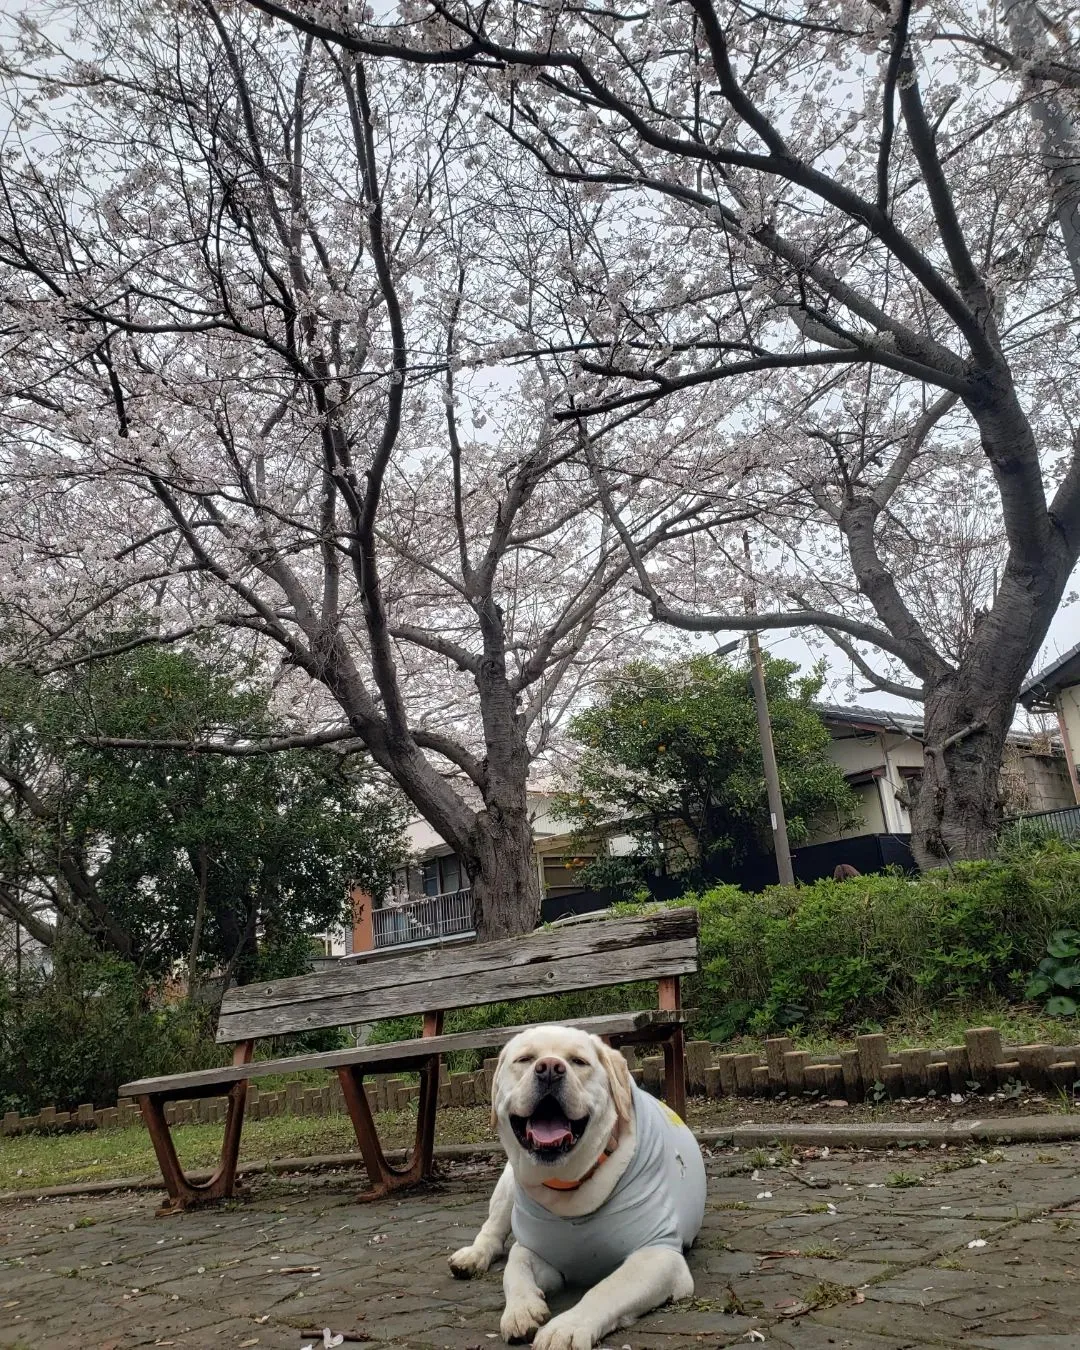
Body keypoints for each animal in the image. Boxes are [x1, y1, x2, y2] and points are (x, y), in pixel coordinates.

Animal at [448, 1026, 707, 1344]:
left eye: (578, 1062)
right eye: (525, 1059)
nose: (549, 1068)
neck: (568, 1185)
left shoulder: (658, 1255)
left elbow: (608, 1287)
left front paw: (566, 1327)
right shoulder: (534, 1249)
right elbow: (515, 1268)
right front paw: (521, 1310)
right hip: (509, 1180)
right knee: (493, 1230)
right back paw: (472, 1256)